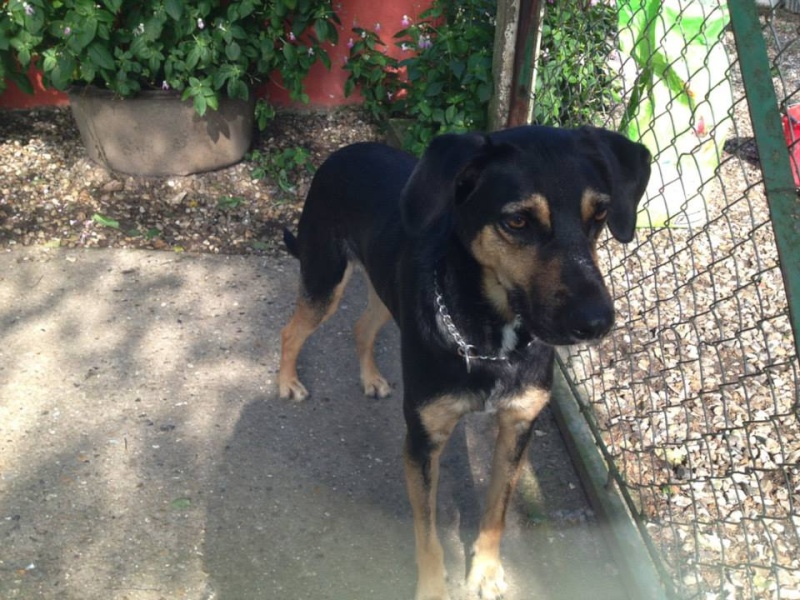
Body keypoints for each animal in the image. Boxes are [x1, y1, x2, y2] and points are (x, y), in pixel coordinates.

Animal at [276, 124, 648, 596]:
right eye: (517, 221)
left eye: (598, 215)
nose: (597, 321)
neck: (493, 339)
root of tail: (344, 150)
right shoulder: (423, 441)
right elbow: (428, 533)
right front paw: (434, 587)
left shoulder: (518, 427)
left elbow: (496, 511)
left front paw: (485, 569)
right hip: (325, 278)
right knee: (292, 331)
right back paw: (287, 382)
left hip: (387, 290)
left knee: (361, 326)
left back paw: (371, 378)